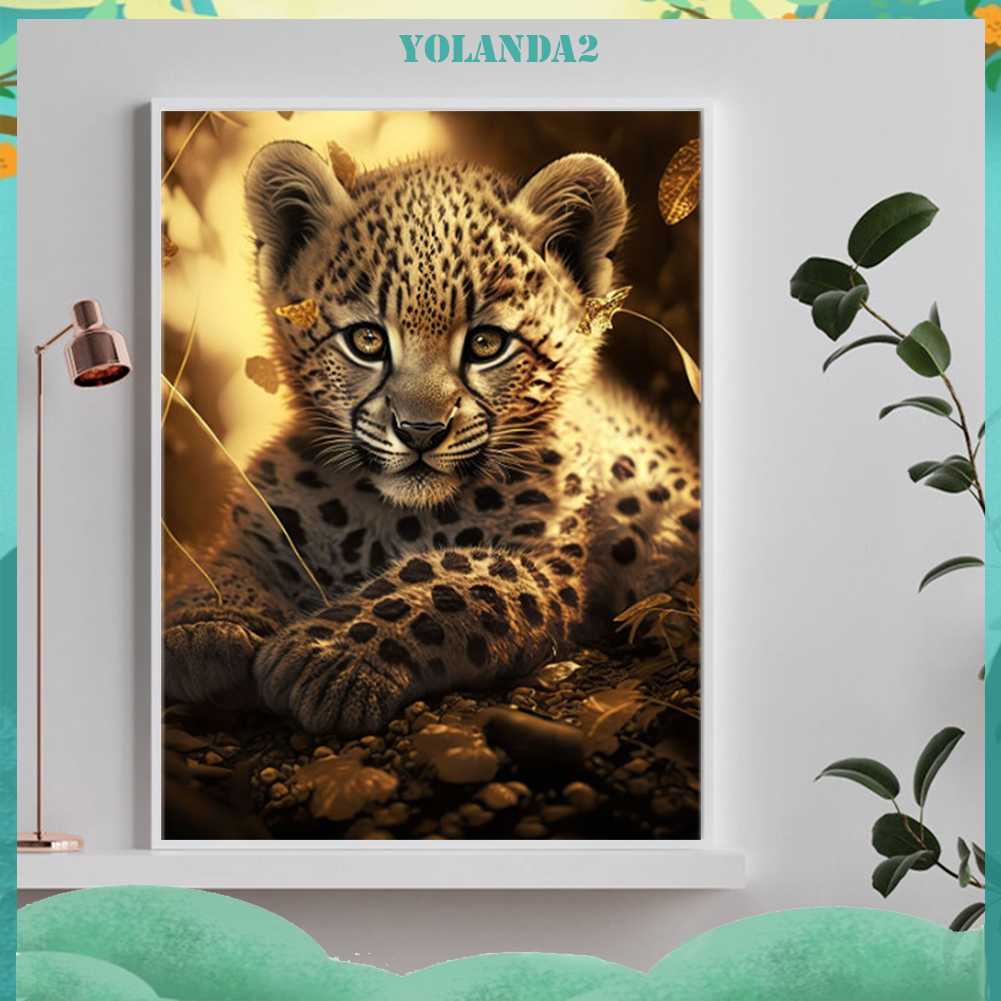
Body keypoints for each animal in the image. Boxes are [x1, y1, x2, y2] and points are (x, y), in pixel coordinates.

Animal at [163, 139, 700, 738]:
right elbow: (232, 558)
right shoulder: (264, 524)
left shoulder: (542, 564)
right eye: (367, 340)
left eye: (487, 343)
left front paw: (327, 654)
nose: (420, 430)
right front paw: (204, 625)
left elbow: (449, 575)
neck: (389, 517)